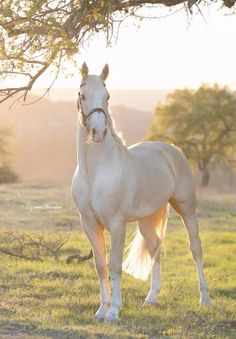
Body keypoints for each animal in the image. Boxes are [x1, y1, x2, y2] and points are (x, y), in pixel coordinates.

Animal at [71, 63, 211, 322]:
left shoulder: (117, 224)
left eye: (107, 97)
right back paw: (151, 298)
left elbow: (115, 266)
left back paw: (205, 298)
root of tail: (171, 149)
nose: (98, 132)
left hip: (186, 208)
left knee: (195, 248)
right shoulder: (89, 224)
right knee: (155, 247)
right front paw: (101, 309)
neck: (95, 172)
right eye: (82, 95)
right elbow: (100, 266)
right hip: (146, 219)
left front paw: (114, 311)